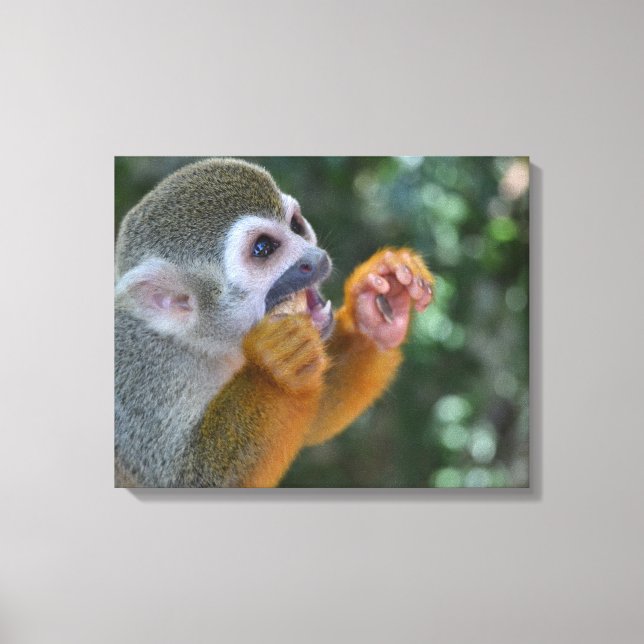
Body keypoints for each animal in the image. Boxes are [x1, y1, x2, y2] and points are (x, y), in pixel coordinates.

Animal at [115, 158, 434, 487]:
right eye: (263, 248)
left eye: (296, 225)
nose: (314, 259)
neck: (200, 342)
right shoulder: (143, 381)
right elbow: (188, 481)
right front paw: (275, 368)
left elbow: (311, 421)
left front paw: (370, 314)